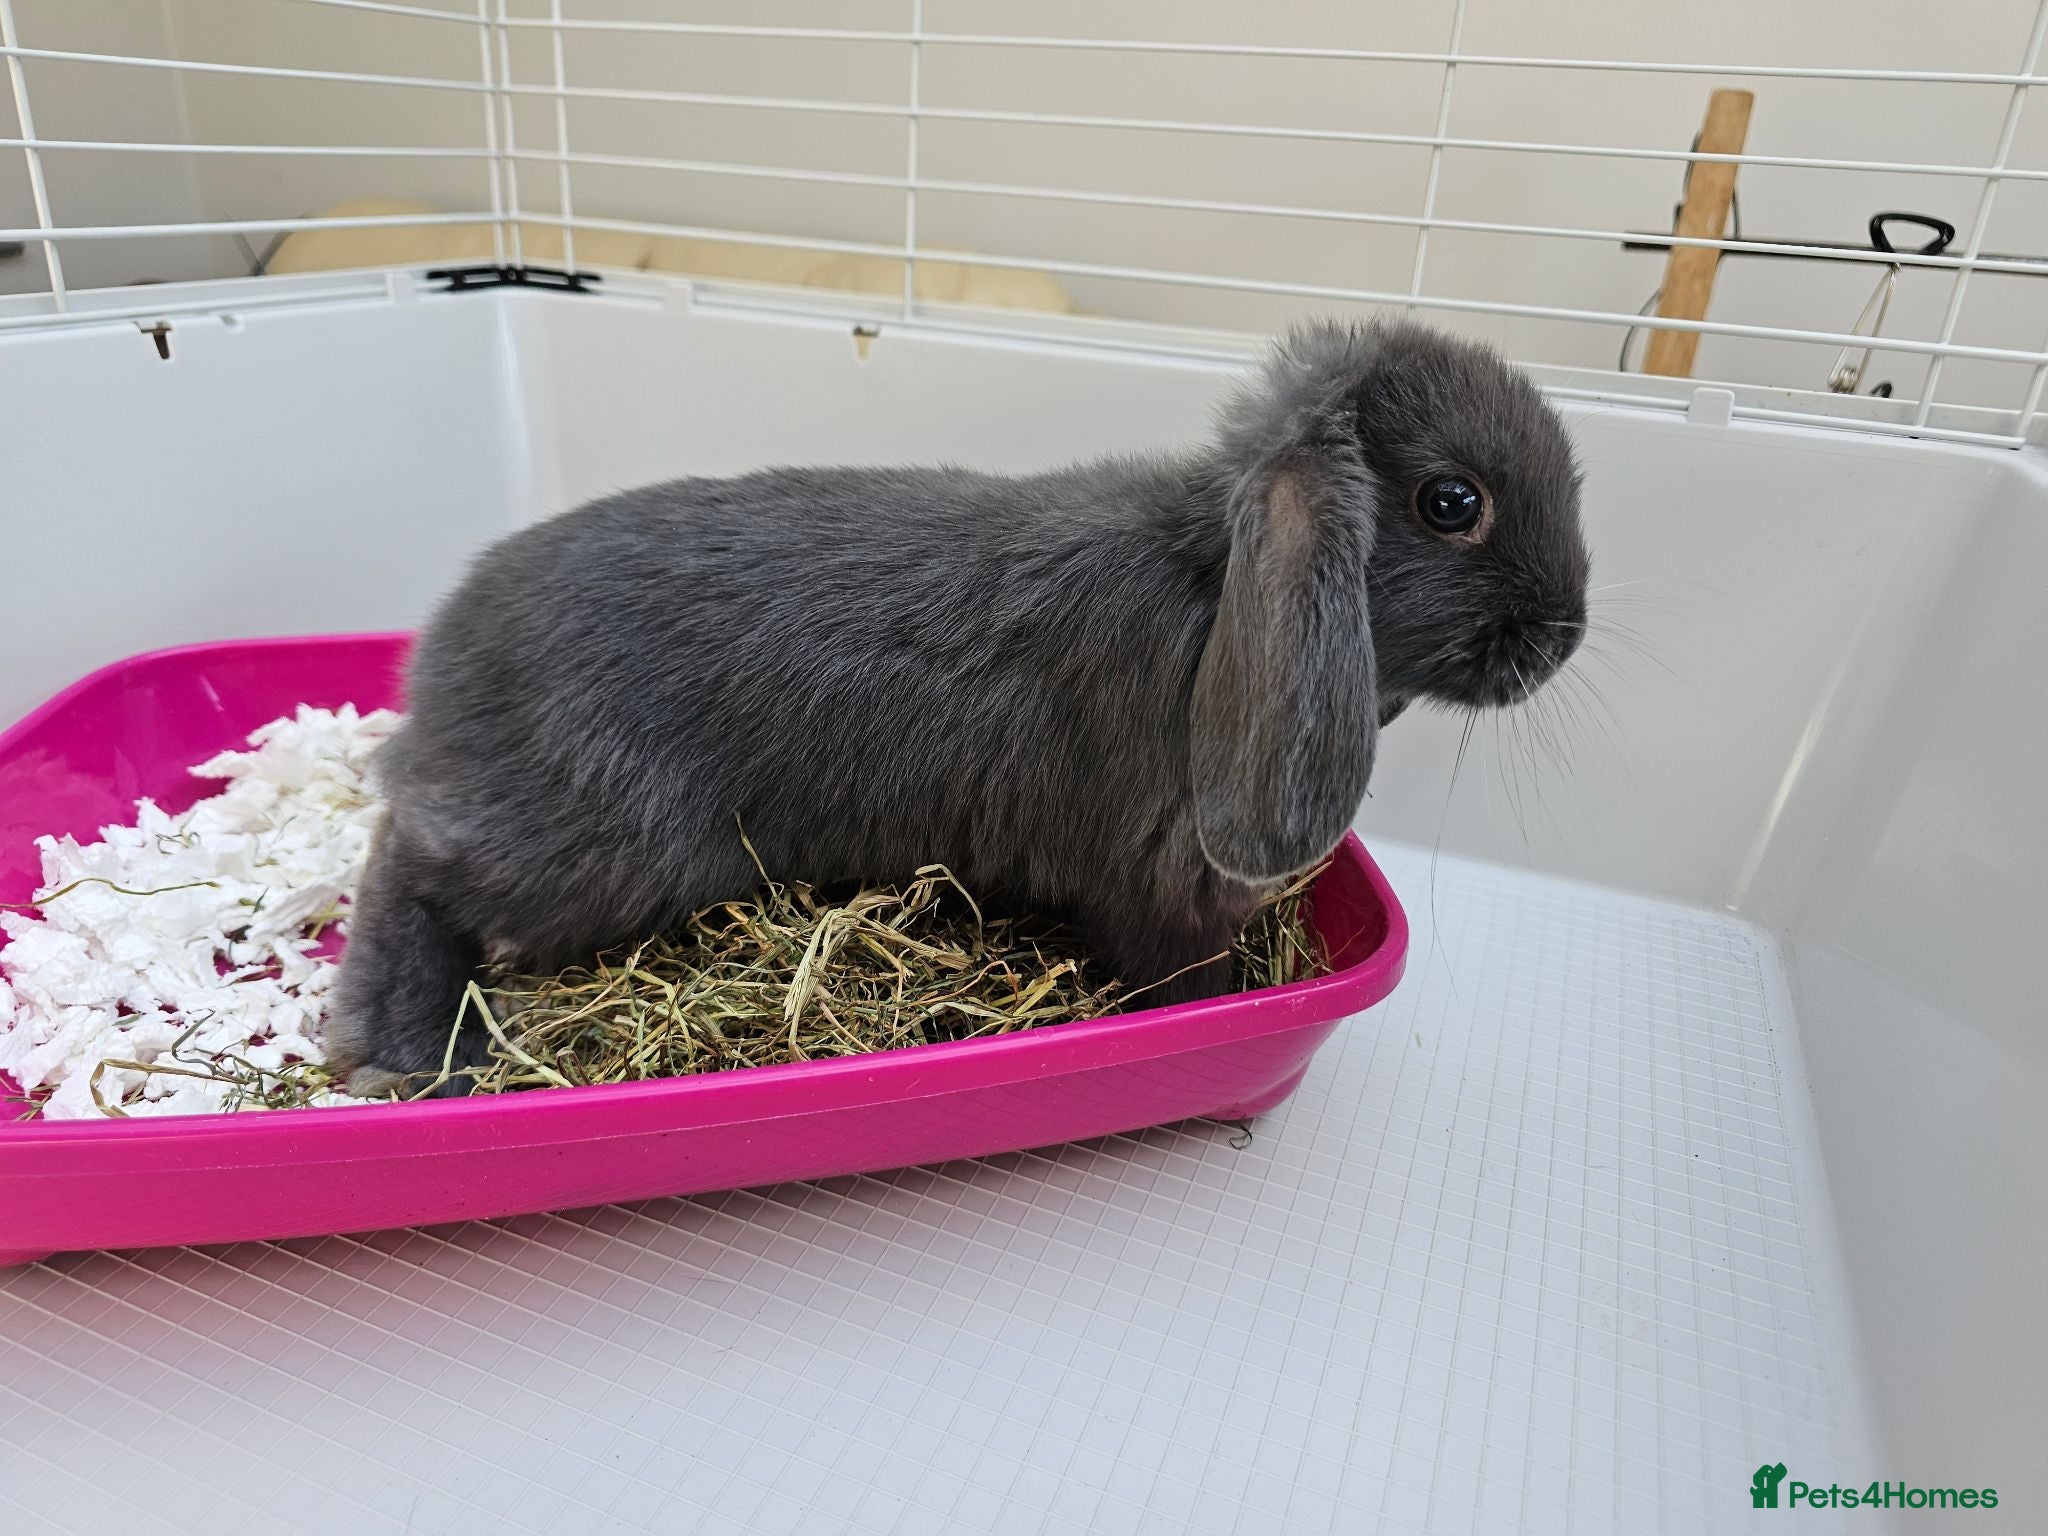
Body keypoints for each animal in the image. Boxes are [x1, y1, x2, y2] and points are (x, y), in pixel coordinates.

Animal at [326, 317, 1588, 1096]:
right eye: (1450, 502)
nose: (1563, 635)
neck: (1213, 581)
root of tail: (438, 669)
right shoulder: (1156, 894)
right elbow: (1183, 981)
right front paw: (1225, 1003)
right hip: (601, 852)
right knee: (408, 865)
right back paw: (407, 1046)